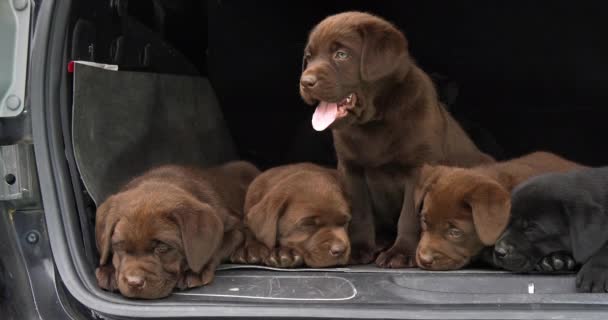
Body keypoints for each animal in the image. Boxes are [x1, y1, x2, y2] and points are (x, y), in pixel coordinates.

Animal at [94, 161, 258, 298]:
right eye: (118, 246)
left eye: (162, 247)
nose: (134, 282)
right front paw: (109, 270)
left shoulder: (235, 228)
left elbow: (215, 248)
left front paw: (193, 270)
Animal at [300, 10, 494, 268]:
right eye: (309, 58)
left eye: (341, 54)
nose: (305, 82)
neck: (374, 121)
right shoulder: (350, 168)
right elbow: (360, 211)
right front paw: (359, 248)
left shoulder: (419, 168)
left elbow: (409, 216)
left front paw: (401, 253)